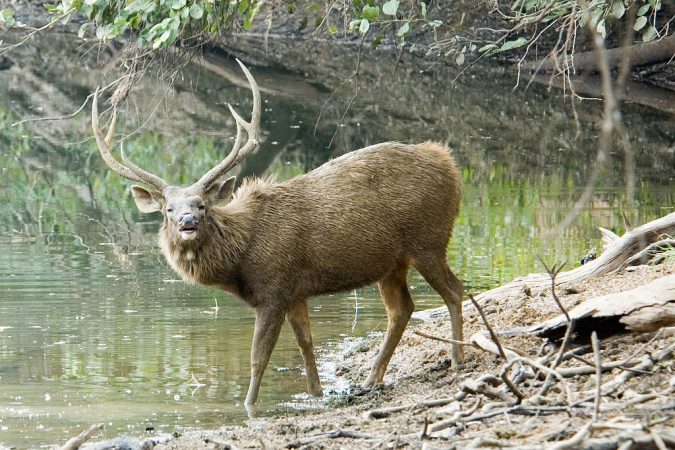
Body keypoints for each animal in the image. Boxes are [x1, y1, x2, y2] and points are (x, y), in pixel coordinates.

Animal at [91, 60, 464, 414]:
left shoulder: (274, 289)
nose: (187, 221)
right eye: (168, 208)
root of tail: (449, 163)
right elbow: (306, 343)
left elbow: (259, 357)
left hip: (429, 240)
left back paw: (458, 359)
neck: (240, 260)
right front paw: (316, 394)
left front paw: (249, 406)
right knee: (402, 309)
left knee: (454, 290)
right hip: (391, 262)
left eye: (202, 205)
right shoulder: (296, 291)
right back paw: (372, 379)